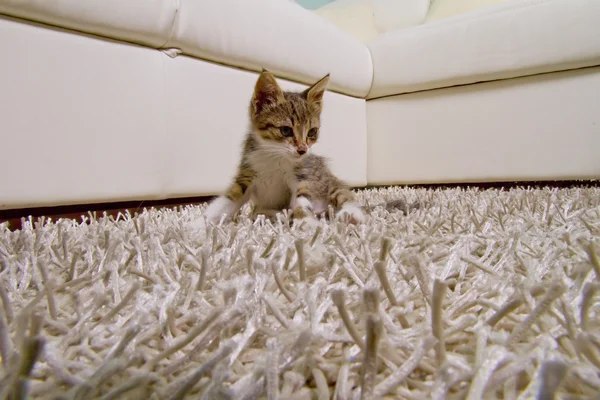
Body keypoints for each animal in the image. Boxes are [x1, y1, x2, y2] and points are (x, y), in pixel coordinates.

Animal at [202, 69, 366, 225]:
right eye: (286, 130)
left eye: (312, 132)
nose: (303, 150)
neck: (275, 156)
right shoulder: (247, 172)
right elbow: (227, 199)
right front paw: (200, 224)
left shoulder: (302, 176)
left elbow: (301, 198)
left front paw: (306, 222)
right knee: (259, 212)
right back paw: (275, 215)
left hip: (327, 181)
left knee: (342, 194)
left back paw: (350, 215)